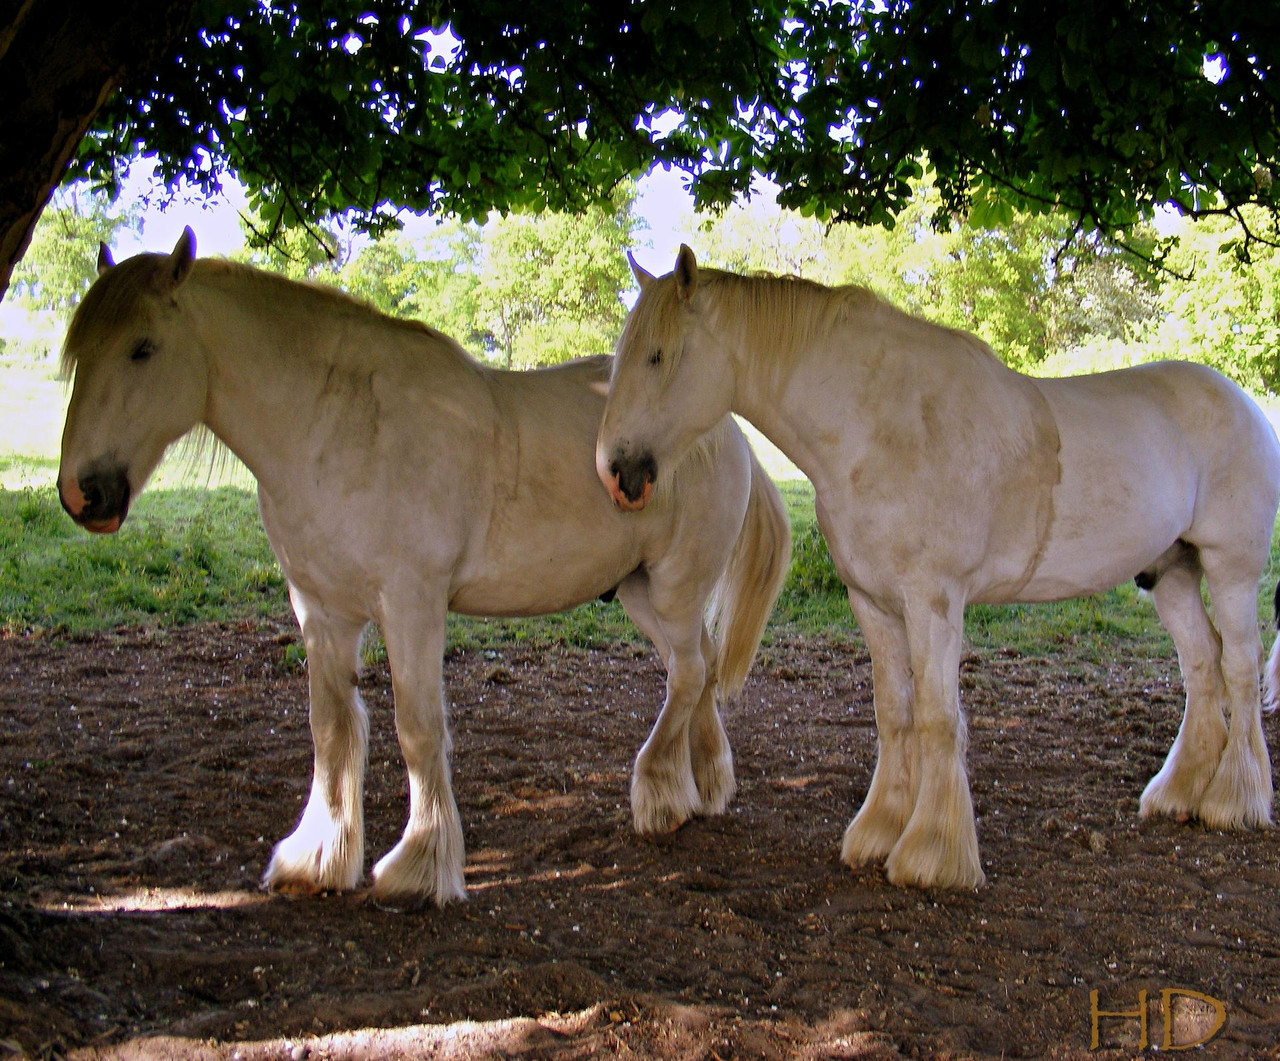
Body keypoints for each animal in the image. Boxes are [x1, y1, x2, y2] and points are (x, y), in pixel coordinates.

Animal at [57, 229, 791, 906]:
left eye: (142, 347)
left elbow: (417, 728)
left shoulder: (410, 604)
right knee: (697, 669)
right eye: (79, 353)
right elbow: (332, 728)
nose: (83, 493)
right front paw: (318, 858)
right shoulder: (321, 610)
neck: (338, 424)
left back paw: (659, 797)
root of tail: (729, 430)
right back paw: (703, 787)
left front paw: (419, 864)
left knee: (689, 672)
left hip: (674, 586)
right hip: (642, 593)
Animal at [596, 244, 1280, 890]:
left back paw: (1233, 801)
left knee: (1240, 667)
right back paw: (1179, 795)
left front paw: (932, 853)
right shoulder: (873, 603)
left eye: (657, 357)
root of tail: (1242, 401)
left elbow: (935, 717)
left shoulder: (932, 601)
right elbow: (893, 713)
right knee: (1203, 665)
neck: (879, 427)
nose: (615, 471)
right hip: (1171, 574)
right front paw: (879, 831)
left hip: (1231, 570)